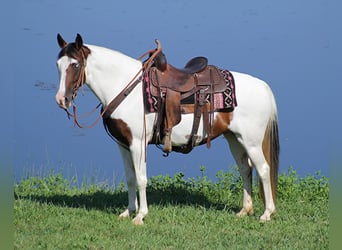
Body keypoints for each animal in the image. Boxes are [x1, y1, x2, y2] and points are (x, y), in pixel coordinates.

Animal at [56, 32, 280, 225]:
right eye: (58, 65)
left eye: (75, 64)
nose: (61, 100)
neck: (126, 88)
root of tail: (263, 87)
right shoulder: (123, 144)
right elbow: (130, 178)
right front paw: (128, 211)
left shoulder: (138, 144)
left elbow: (141, 179)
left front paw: (140, 216)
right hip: (235, 138)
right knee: (245, 169)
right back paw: (245, 210)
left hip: (251, 141)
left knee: (263, 169)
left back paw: (267, 213)